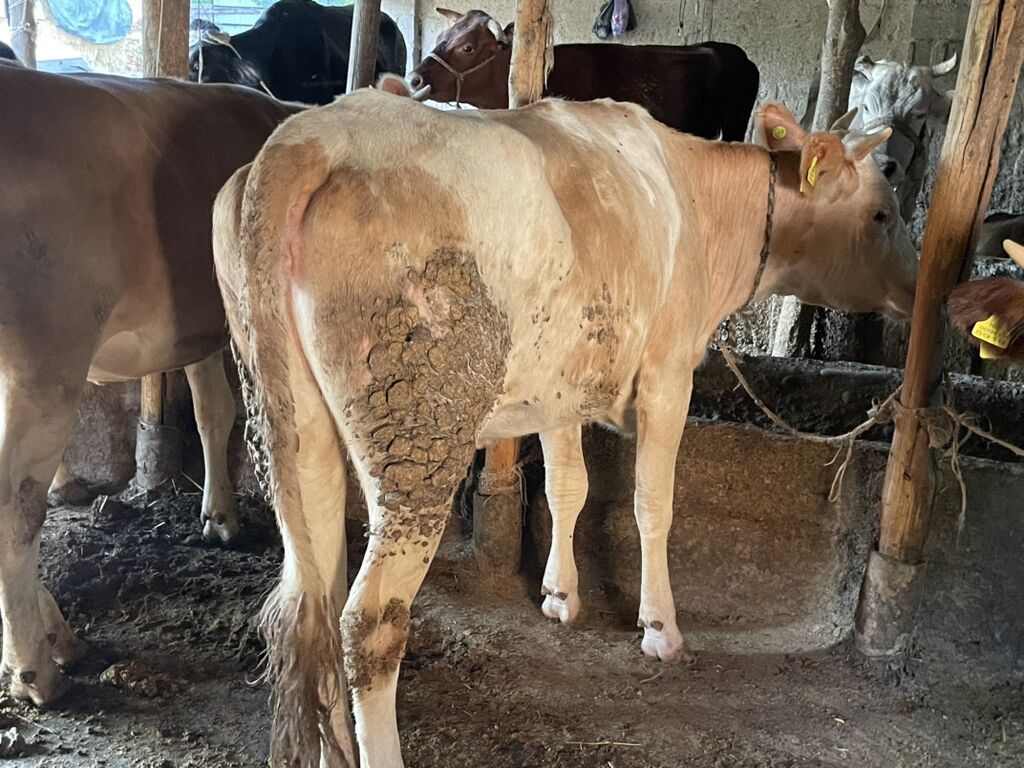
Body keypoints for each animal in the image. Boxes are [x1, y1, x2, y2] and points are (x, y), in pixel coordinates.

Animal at [0, 61, 299, 707]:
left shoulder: (197, 331)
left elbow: (213, 412)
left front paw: (220, 517)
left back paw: (60, 638)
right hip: (46, 360)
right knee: (17, 506)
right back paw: (37, 668)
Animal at [213, 71, 916, 766]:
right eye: (883, 212)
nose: (918, 295)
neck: (701, 203)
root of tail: (311, 135)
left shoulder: (561, 386)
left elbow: (567, 488)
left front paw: (560, 594)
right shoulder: (668, 374)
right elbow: (651, 503)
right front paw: (660, 627)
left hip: (290, 425)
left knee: (314, 599)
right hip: (418, 437)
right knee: (369, 621)